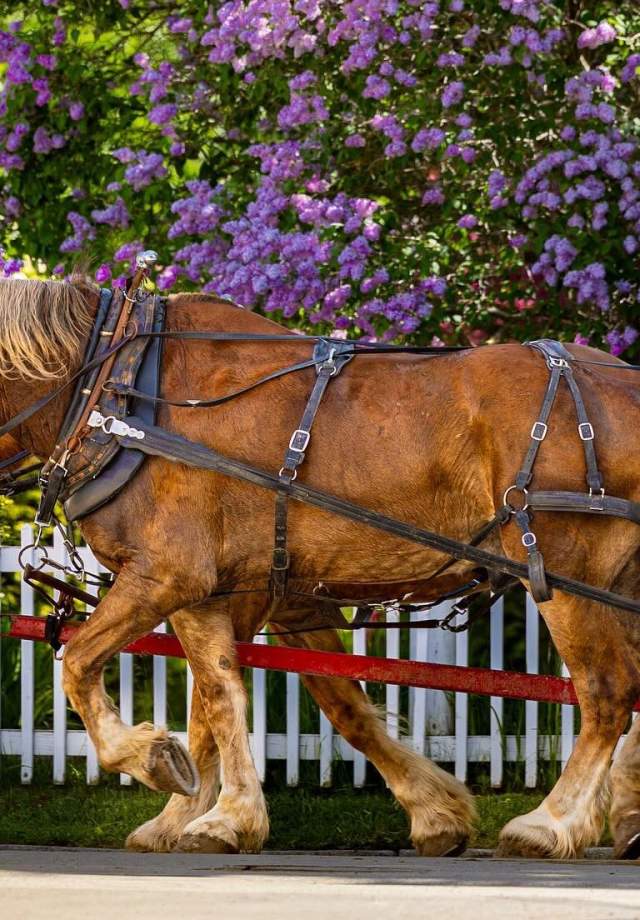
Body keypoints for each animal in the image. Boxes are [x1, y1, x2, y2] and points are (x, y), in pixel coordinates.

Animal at [2, 275, 640, 860]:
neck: (121, 392)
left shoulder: (170, 575)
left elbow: (86, 663)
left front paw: (172, 776)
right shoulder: (253, 596)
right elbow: (263, 701)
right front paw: (193, 813)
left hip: (567, 575)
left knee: (607, 692)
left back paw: (550, 823)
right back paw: (625, 816)